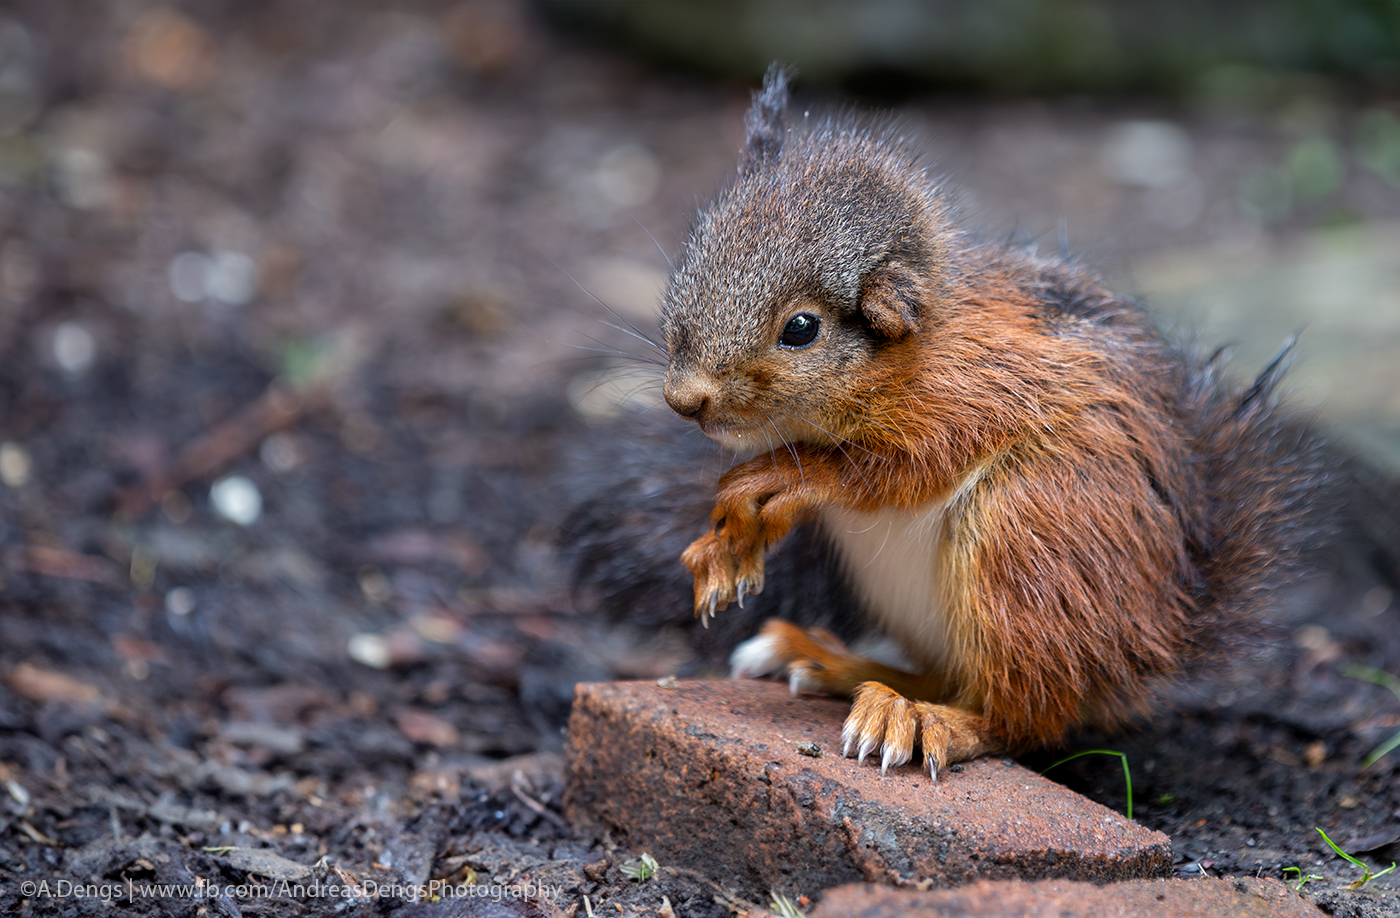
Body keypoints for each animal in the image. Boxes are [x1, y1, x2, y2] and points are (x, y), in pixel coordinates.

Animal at [582, 64, 1344, 783]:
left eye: (801, 329)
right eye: (693, 261)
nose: (685, 399)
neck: (909, 351)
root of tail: (1151, 641)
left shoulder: (980, 393)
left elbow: (892, 471)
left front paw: (771, 484)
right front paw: (728, 545)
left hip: (1027, 544)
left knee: (1021, 716)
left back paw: (919, 717)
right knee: (962, 680)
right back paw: (832, 663)